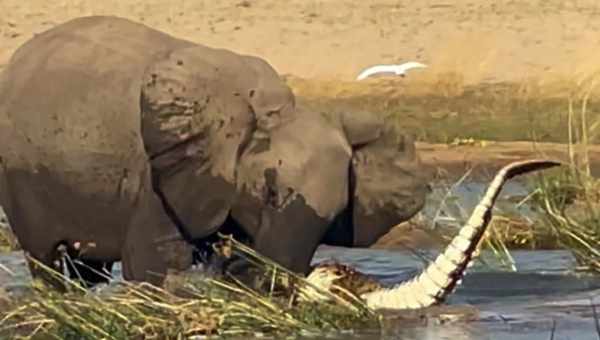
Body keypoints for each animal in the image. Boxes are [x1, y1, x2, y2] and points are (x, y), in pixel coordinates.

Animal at [0, 15, 432, 286]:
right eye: (267, 192)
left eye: (339, 212)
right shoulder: (159, 177)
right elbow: (154, 265)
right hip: (19, 180)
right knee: (47, 263)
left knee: (87, 271)